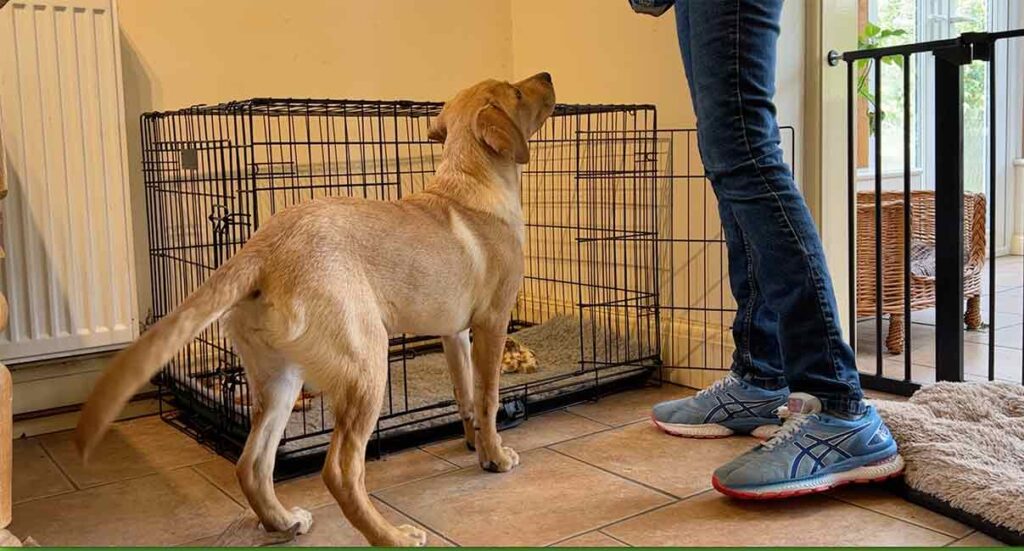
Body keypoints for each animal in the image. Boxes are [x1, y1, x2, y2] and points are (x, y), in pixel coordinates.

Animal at [75, 72, 557, 544]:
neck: (469, 182)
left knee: (251, 464)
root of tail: (262, 248)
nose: (549, 76)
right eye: (516, 92)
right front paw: (496, 457)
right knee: (341, 471)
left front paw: (476, 446)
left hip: (280, 380)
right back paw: (392, 536)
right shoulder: (492, 322)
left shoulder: (454, 333)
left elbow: (465, 396)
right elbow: (488, 397)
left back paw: (282, 521)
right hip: (366, 365)